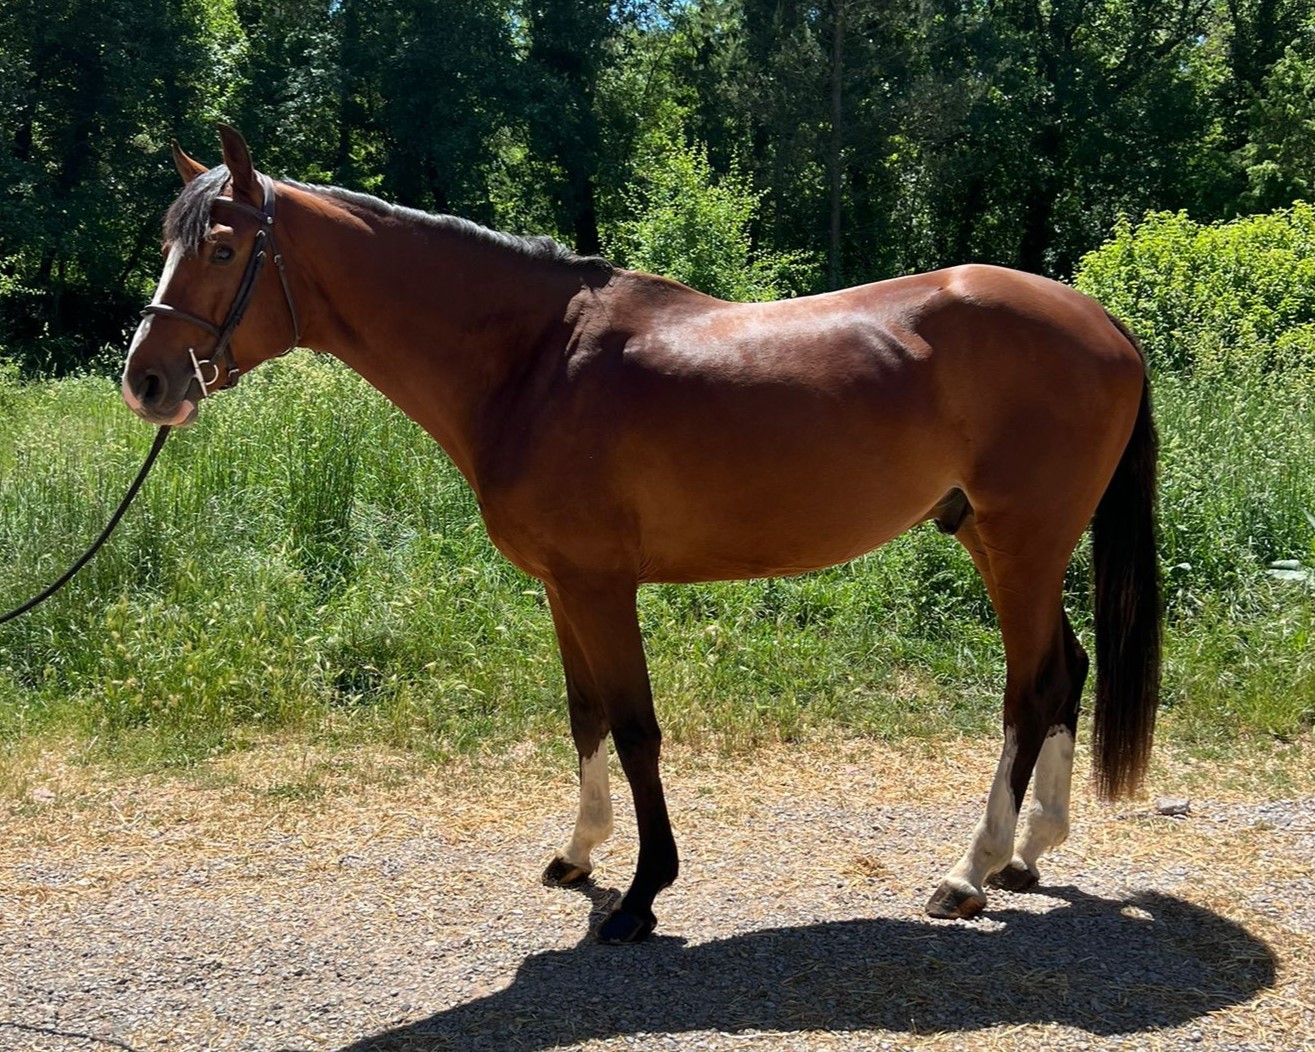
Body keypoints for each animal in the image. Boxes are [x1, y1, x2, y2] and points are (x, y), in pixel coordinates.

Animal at [121, 125, 1160, 944]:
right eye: (172, 242)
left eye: (222, 247)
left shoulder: (598, 585)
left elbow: (632, 726)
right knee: (1065, 669)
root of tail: (1100, 319)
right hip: (998, 540)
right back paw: (1027, 856)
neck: (534, 362)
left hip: (1021, 543)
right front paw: (580, 855)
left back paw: (968, 871)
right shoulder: (559, 585)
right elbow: (584, 715)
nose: (146, 381)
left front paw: (641, 895)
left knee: (1029, 689)